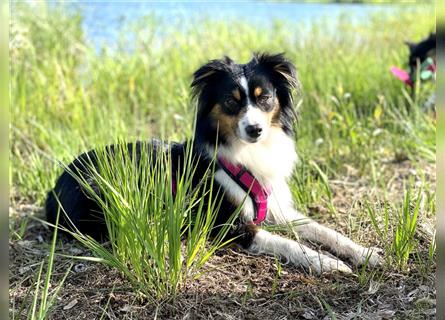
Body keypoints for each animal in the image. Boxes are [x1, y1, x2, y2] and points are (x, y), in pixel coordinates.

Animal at [46, 53, 382, 274]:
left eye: (265, 98)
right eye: (232, 101)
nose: (255, 130)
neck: (243, 154)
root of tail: (56, 185)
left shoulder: (275, 208)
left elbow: (324, 230)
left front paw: (364, 253)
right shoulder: (227, 226)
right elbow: (288, 243)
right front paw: (326, 262)